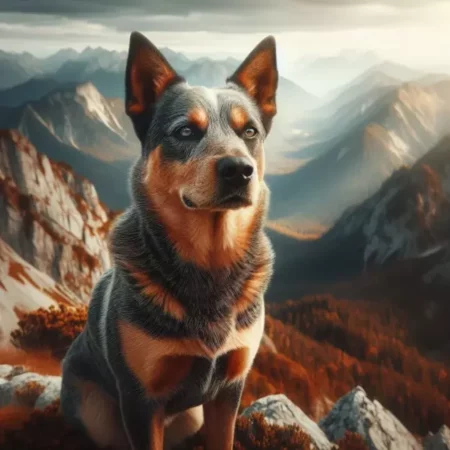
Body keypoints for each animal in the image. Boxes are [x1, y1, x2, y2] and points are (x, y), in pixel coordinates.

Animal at [59, 31, 278, 450]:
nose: (240, 170)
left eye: (250, 131)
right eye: (185, 131)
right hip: (95, 411)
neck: (210, 262)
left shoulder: (230, 388)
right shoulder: (141, 400)